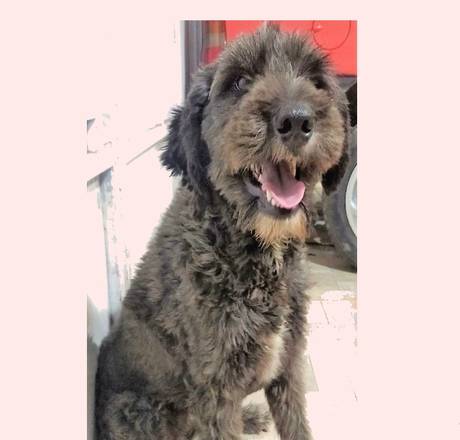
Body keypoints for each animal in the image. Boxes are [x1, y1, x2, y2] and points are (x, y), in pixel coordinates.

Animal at [95, 24, 349, 440]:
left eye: (316, 81)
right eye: (240, 82)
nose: (297, 120)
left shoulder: (288, 364)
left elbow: (296, 424)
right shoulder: (217, 389)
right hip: (138, 410)